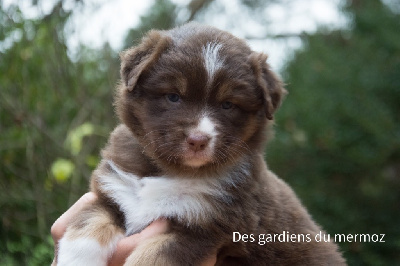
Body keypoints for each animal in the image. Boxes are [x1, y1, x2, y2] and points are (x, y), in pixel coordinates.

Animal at [57, 23, 346, 266]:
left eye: (228, 105)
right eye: (173, 97)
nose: (198, 140)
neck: (174, 172)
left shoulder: (203, 228)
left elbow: (152, 257)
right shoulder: (113, 193)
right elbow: (86, 226)